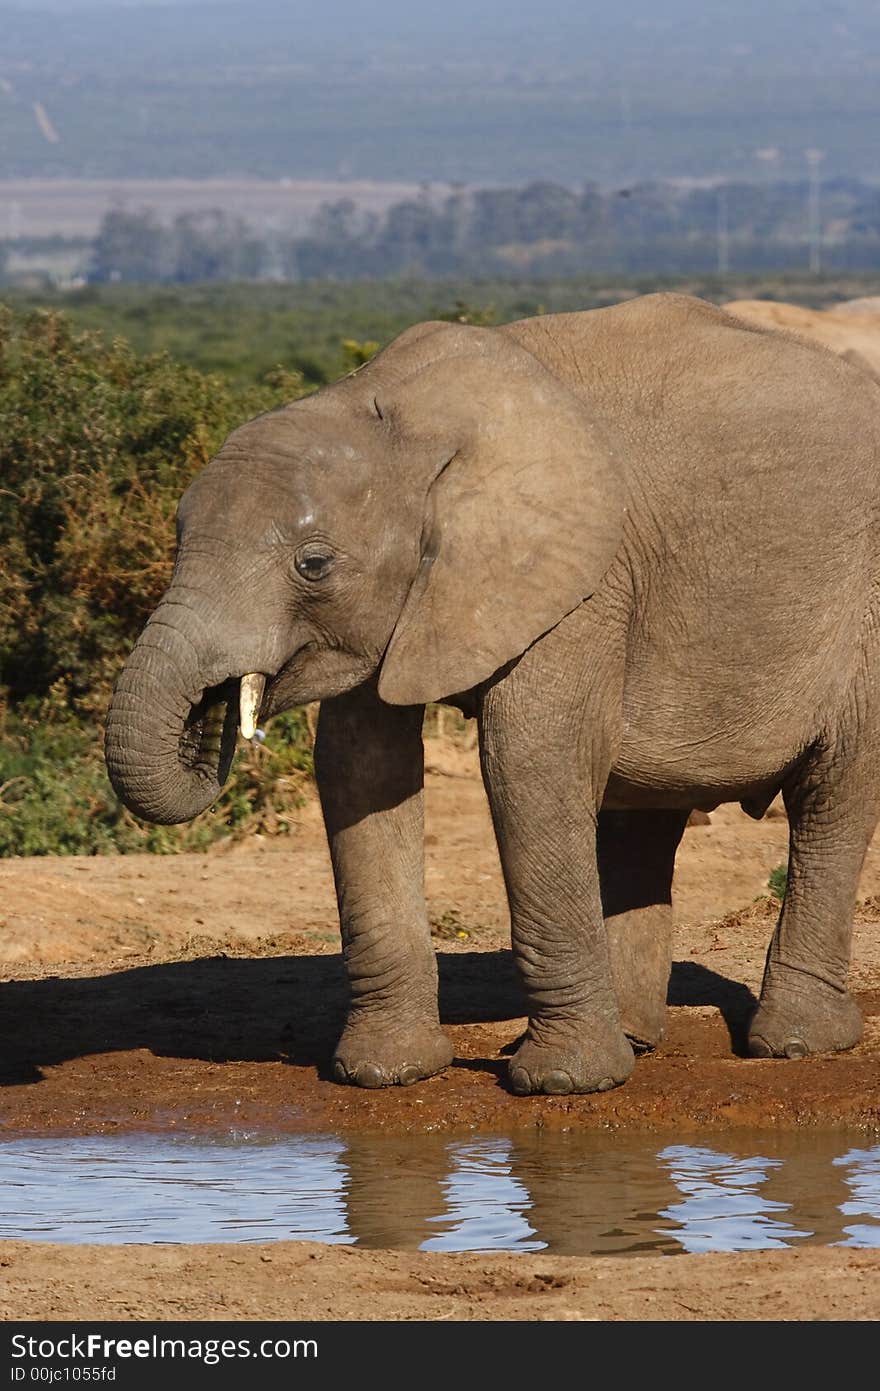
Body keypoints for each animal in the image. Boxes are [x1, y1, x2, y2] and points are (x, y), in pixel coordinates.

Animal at [106, 293, 878, 1096]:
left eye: (313, 565)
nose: (216, 712)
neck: (401, 414)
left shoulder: (582, 576)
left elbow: (528, 761)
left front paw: (561, 1085)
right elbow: (359, 767)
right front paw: (384, 1073)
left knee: (834, 795)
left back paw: (796, 1045)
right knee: (643, 815)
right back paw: (637, 1038)